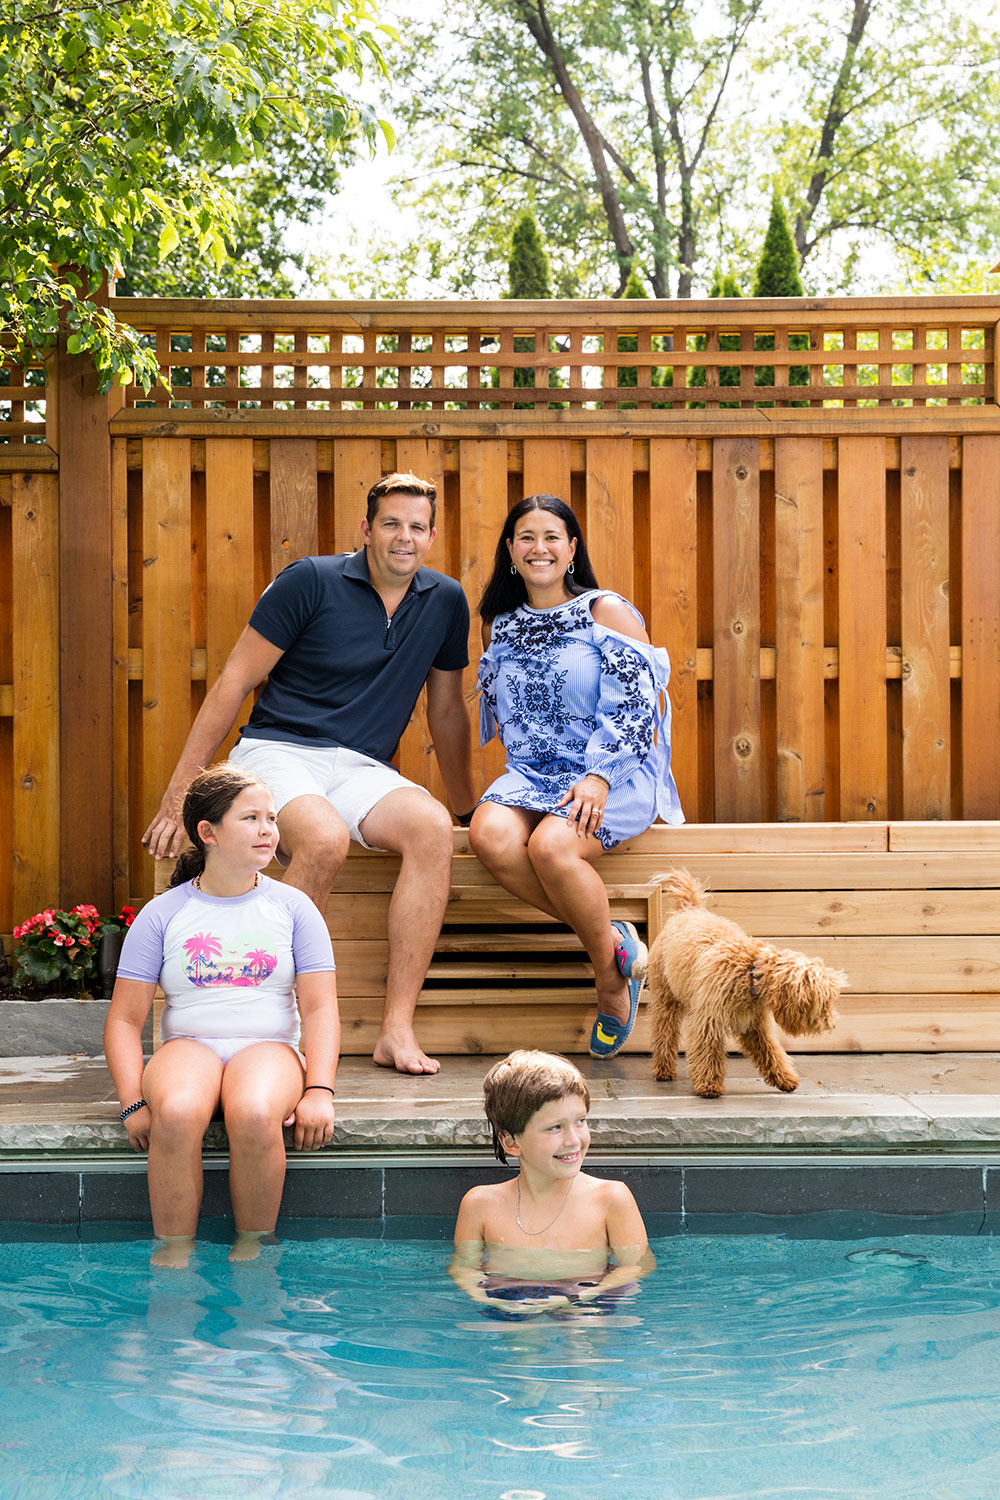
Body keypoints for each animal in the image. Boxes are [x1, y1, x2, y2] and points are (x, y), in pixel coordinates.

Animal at [650, 870, 845, 1104]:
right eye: (824, 1002)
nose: (832, 1023)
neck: (749, 973)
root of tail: (689, 910)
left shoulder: (755, 1025)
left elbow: (770, 1051)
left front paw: (784, 1078)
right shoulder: (709, 1021)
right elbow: (708, 1054)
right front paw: (709, 1085)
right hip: (665, 999)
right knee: (664, 1033)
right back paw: (663, 1069)